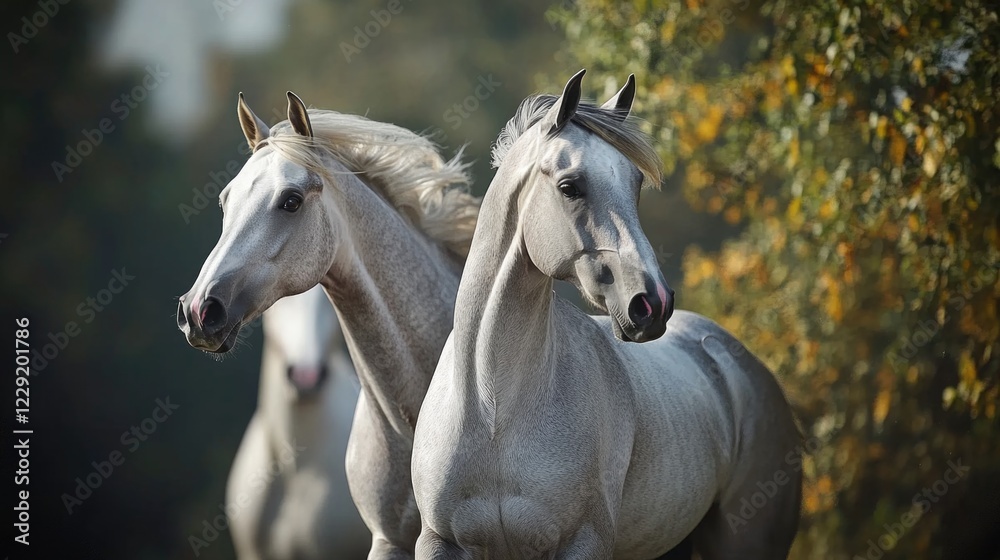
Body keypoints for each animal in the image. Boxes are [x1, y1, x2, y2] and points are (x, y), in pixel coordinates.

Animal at [411, 70, 802, 559]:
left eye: (634, 184)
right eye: (569, 187)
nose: (652, 303)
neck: (493, 407)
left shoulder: (584, 540)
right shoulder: (439, 541)